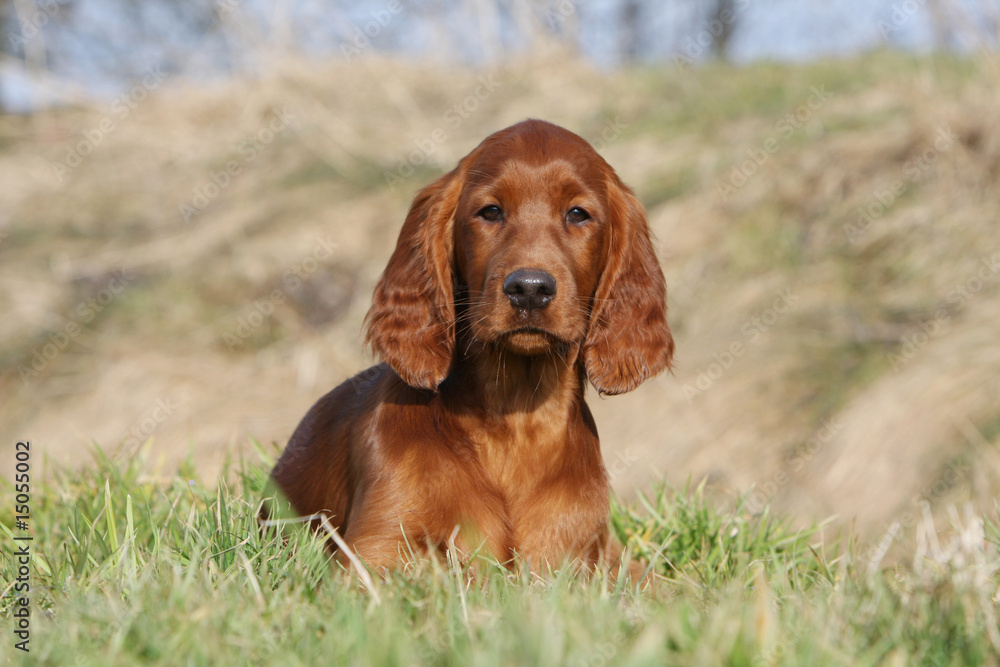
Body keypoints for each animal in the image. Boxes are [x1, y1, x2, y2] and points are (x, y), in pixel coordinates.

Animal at [262, 118, 676, 576]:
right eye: (491, 212)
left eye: (577, 214)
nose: (529, 289)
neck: (516, 417)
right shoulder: (372, 554)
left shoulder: (585, 559)